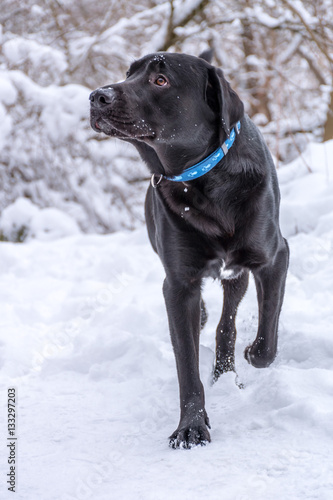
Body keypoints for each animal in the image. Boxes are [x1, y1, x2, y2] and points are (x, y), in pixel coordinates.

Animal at [89, 49, 288, 450]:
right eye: (129, 73)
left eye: (161, 80)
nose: (97, 96)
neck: (205, 179)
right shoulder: (179, 285)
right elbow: (187, 367)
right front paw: (191, 427)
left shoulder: (274, 258)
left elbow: (266, 340)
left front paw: (251, 354)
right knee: (210, 320)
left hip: (237, 274)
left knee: (227, 325)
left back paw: (227, 370)